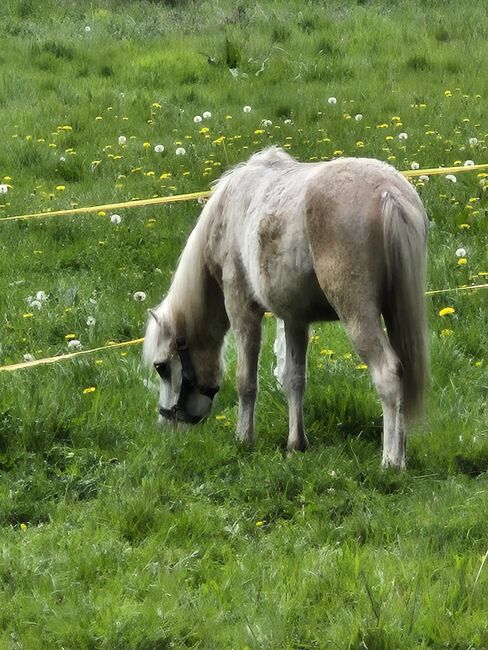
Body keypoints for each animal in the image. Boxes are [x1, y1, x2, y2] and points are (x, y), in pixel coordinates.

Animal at [143, 147, 428, 469]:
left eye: (161, 367)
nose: (168, 425)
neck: (229, 210)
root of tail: (388, 192)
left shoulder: (242, 308)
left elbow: (246, 381)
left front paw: (244, 439)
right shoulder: (295, 319)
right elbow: (294, 380)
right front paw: (296, 444)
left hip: (357, 314)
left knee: (388, 374)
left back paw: (391, 461)